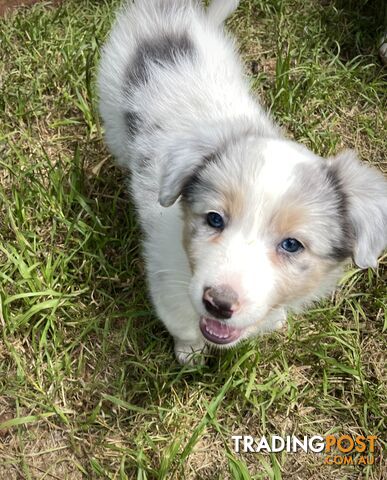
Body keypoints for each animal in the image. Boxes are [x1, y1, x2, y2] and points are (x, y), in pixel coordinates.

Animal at [98, 0, 387, 364]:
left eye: (292, 245)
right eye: (214, 219)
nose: (218, 304)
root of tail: (170, 14)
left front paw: (275, 321)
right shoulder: (166, 276)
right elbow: (182, 323)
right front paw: (190, 354)